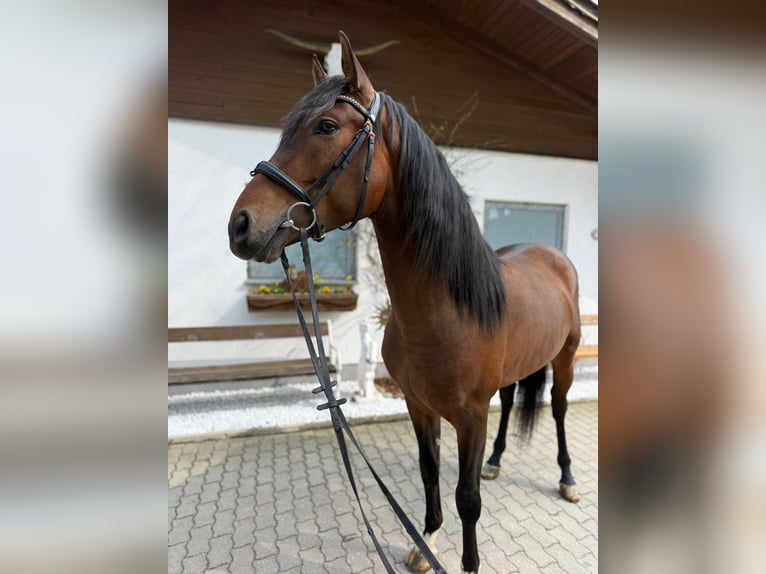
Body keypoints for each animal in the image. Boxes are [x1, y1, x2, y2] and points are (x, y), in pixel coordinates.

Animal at [228, 32, 582, 574]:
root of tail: (552, 256)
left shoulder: (470, 416)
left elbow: (467, 498)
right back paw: (497, 462)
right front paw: (427, 540)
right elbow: (429, 472)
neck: (442, 313)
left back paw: (567, 478)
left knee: (560, 409)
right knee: (510, 405)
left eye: (325, 126)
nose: (241, 225)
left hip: (564, 358)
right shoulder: (419, 406)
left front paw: (466, 561)